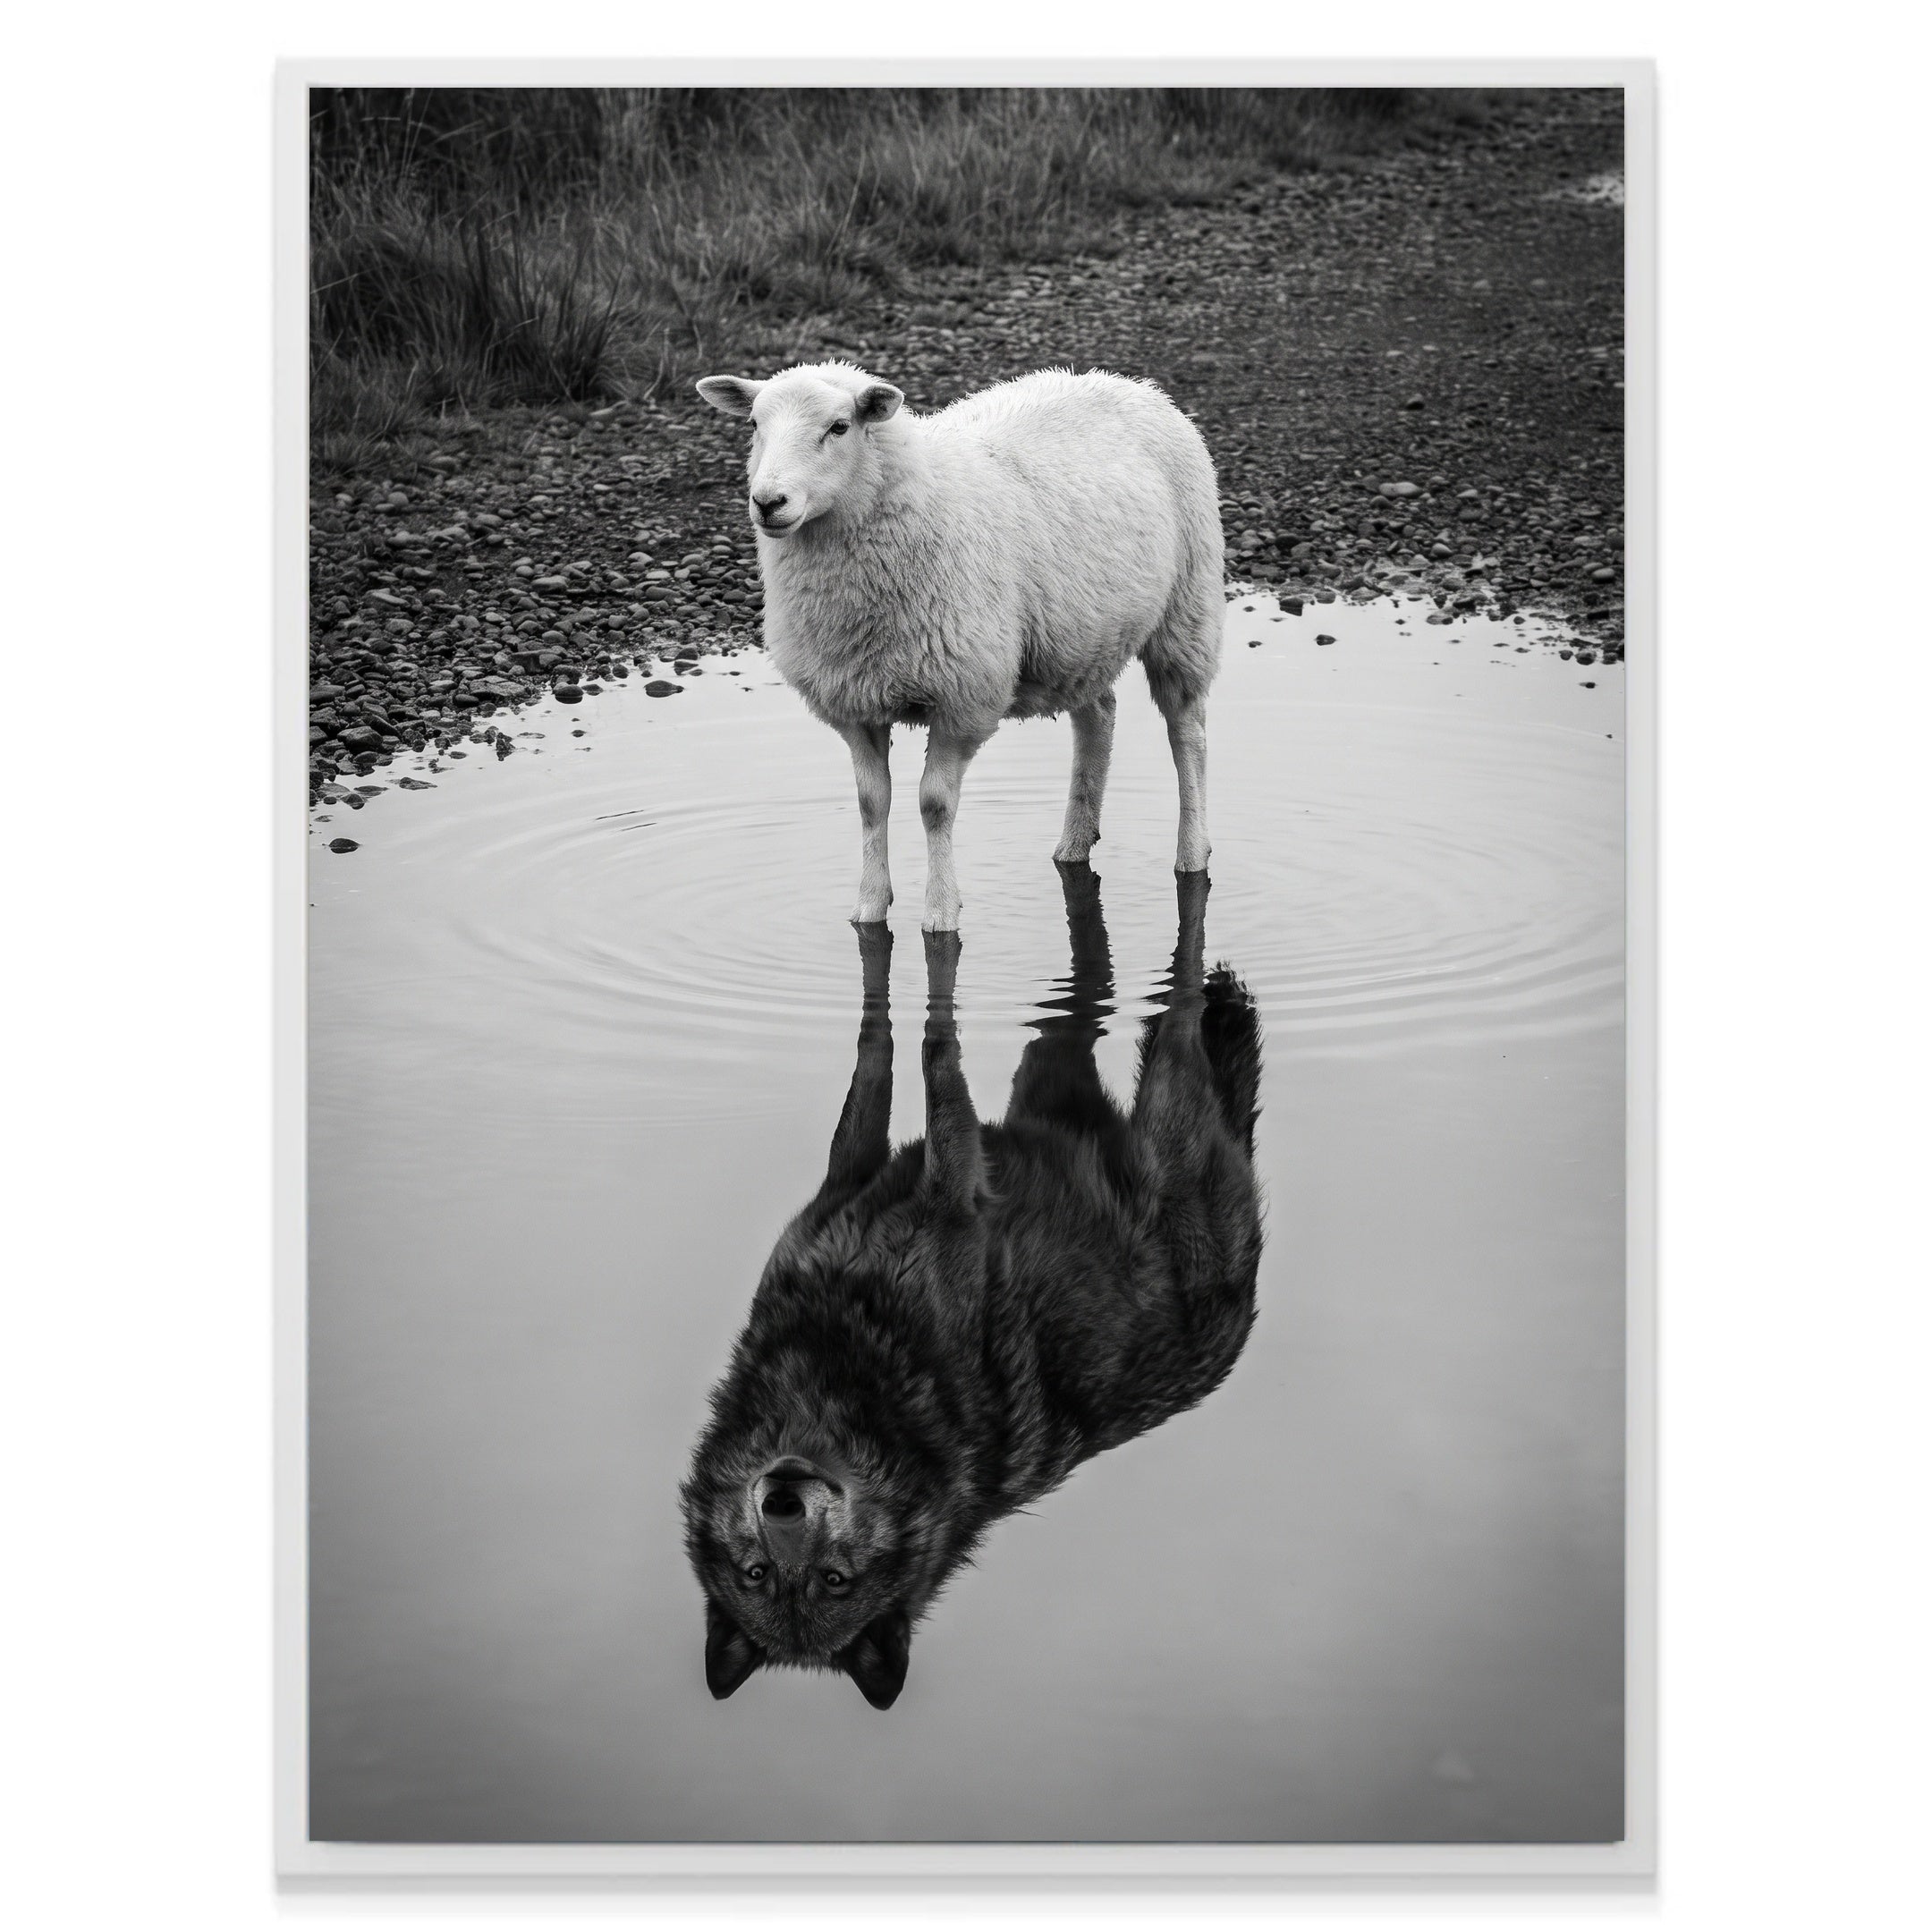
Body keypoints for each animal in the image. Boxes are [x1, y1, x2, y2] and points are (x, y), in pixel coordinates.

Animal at [681, 865, 1263, 1709]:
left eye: (833, 1580)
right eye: (758, 1574)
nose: (784, 1497)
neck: (838, 1364)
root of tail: (1244, 1315)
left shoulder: (950, 1185)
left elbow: (926, 1055)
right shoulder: (854, 1183)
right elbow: (878, 1054)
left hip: (1162, 1077)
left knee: (1179, 987)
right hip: (1047, 1064)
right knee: (1095, 997)